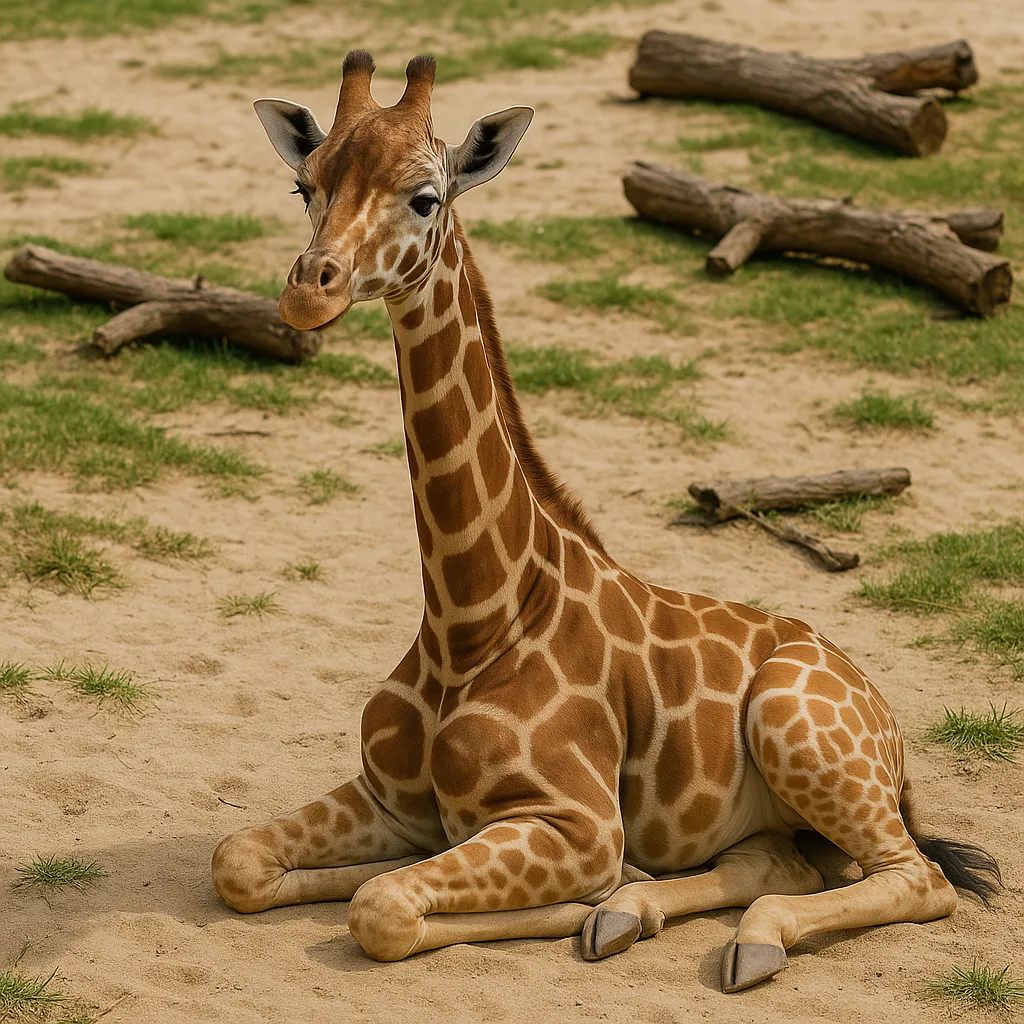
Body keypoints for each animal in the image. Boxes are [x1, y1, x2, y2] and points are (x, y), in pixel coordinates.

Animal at [212, 51, 1000, 993]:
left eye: (426, 197)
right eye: (306, 184)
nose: (308, 292)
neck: (472, 623)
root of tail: (891, 730)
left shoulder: (580, 824)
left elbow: (385, 905)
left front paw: (586, 897)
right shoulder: (385, 797)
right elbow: (239, 859)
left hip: (797, 727)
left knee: (917, 876)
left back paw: (726, 932)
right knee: (783, 861)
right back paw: (646, 916)